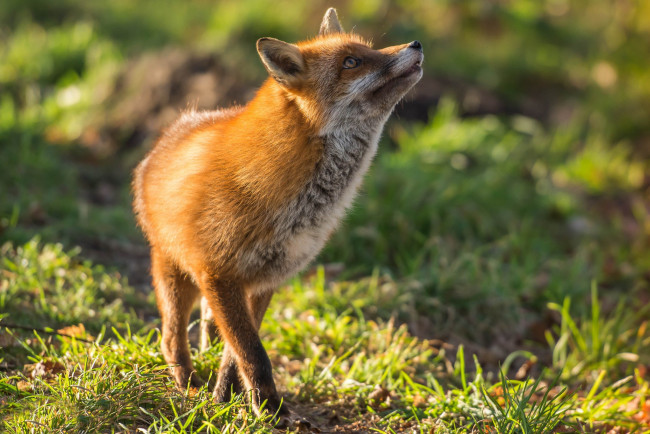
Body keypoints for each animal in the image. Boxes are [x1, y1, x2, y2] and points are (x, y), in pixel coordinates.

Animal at [132, 8, 423, 419]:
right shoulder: (220, 274)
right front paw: (264, 407)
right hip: (174, 272)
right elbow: (252, 351)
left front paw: (232, 397)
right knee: (171, 337)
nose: (416, 44)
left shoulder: (266, 279)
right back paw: (187, 385)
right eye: (351, 62)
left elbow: (235, 352)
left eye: (368, 49)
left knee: (207, 328)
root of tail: (169, 132)